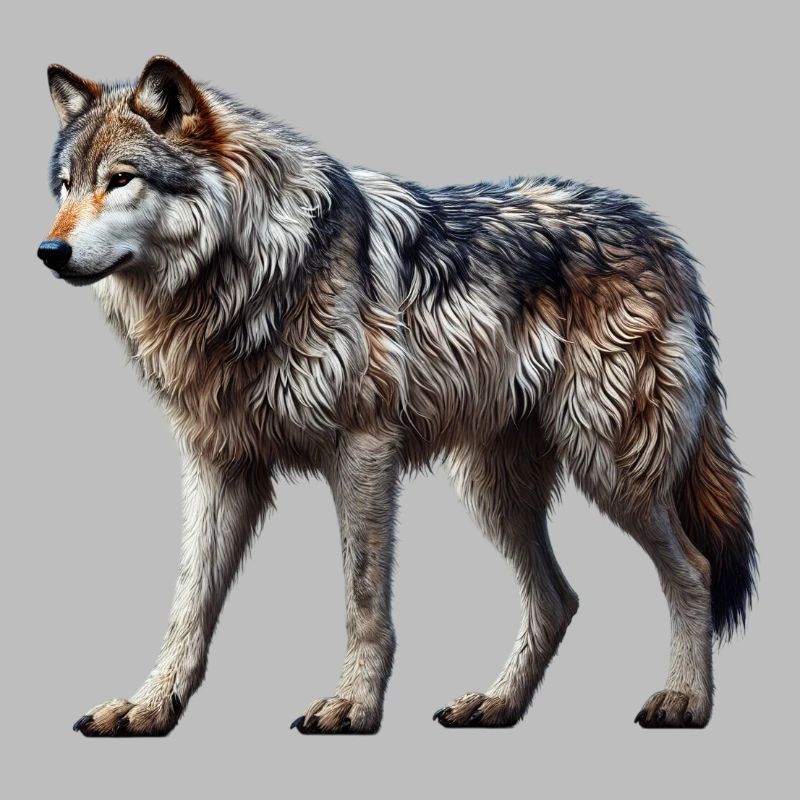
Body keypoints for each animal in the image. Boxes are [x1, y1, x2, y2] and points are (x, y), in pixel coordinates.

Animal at [39, 56, 756, 736]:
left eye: (120, 179)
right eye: (67, 186)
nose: (49, 250)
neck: (244, 277)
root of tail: (664, 239)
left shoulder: (363, 450)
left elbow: (362, 598)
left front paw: (353, 706)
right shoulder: (218, 464)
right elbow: (187, 603)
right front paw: (148, 707)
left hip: (611, 466)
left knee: (694, 570)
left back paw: (685, 701)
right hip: (494, 490)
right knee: (559, 600)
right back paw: (496, 704)